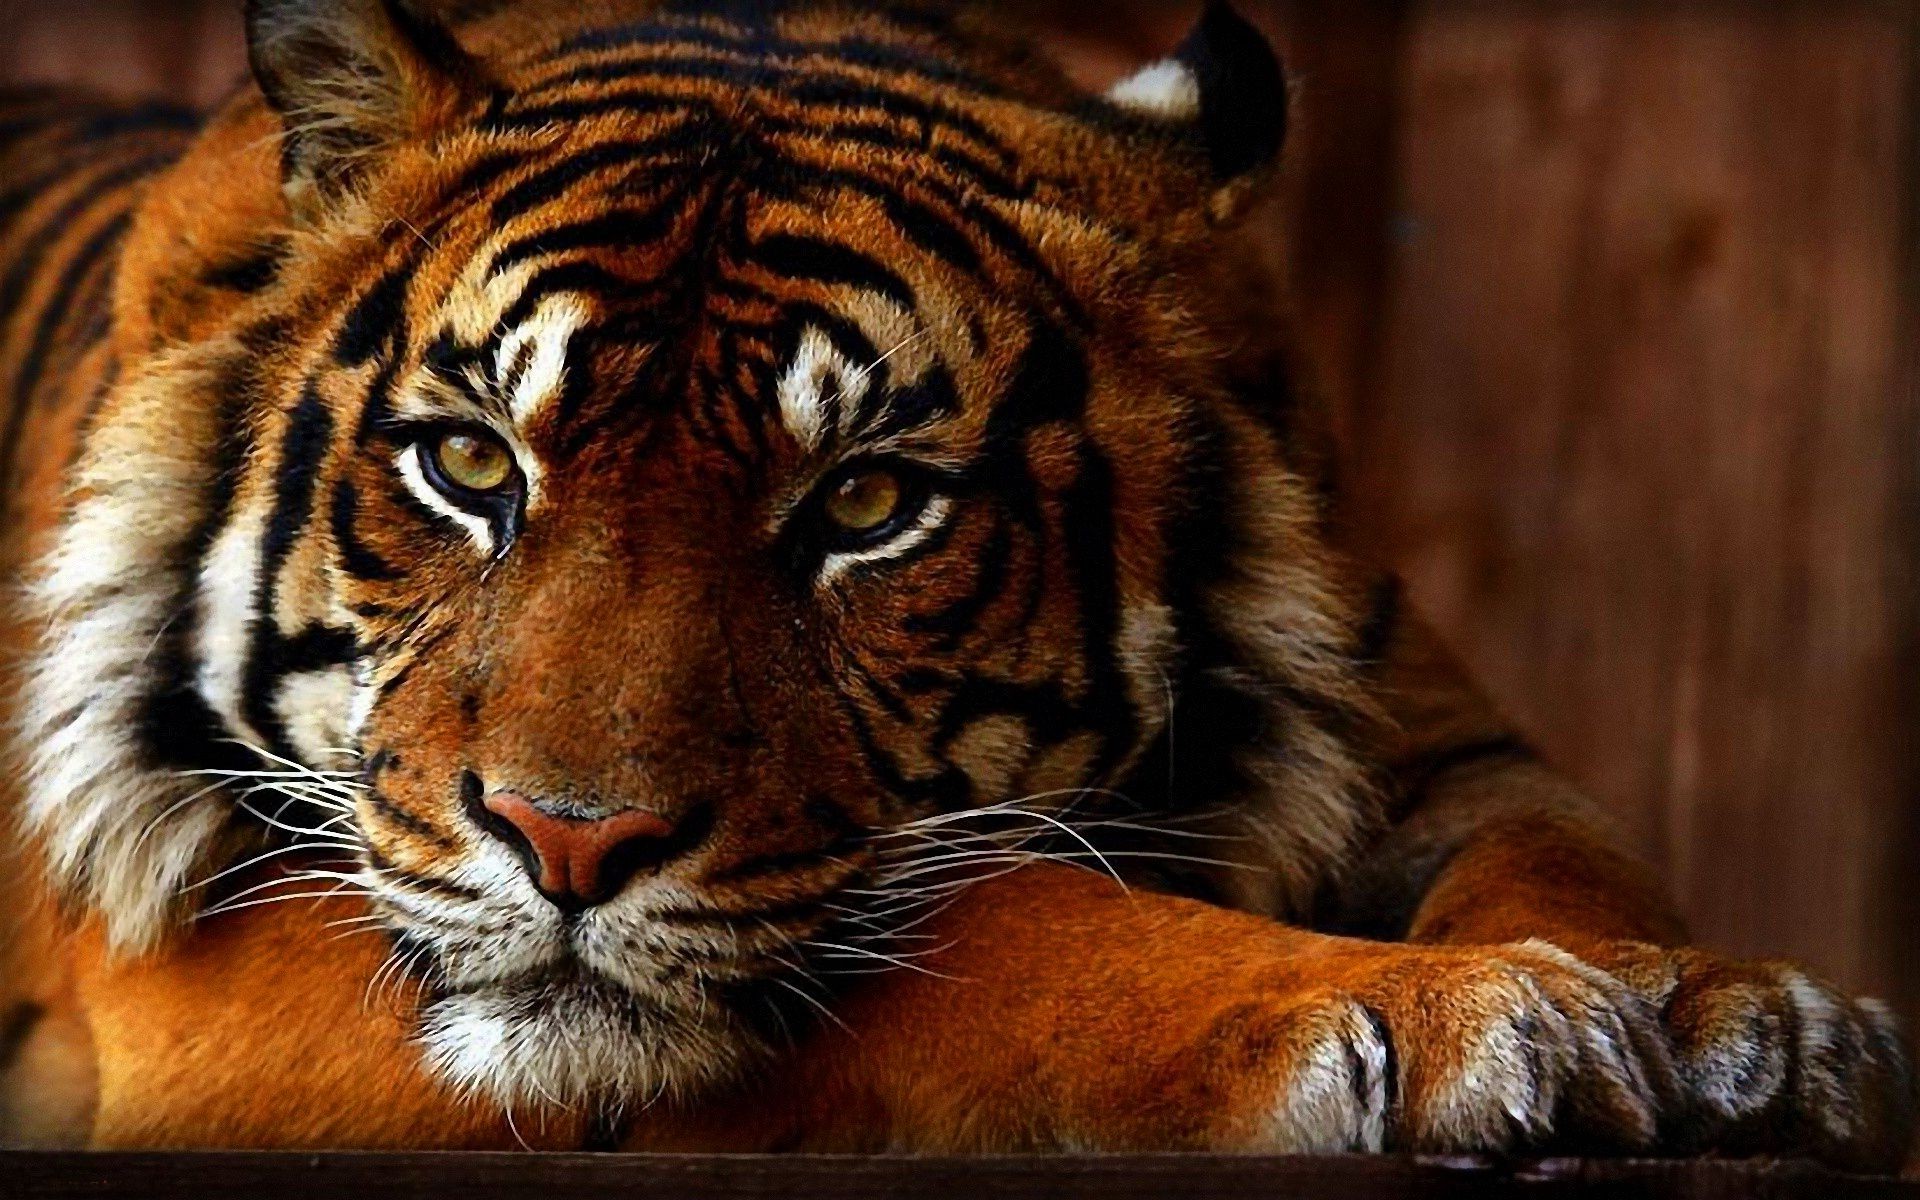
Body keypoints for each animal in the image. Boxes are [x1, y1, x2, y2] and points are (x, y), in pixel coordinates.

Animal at [0, 0, 1912, 1165]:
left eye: (866, 504)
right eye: (473, 465)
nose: (568, 844)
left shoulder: (1436, 738)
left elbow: (1570, 856)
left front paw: (1735, 1020)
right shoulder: (212, 943)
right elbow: (1005, 926)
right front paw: (1440, 1017)